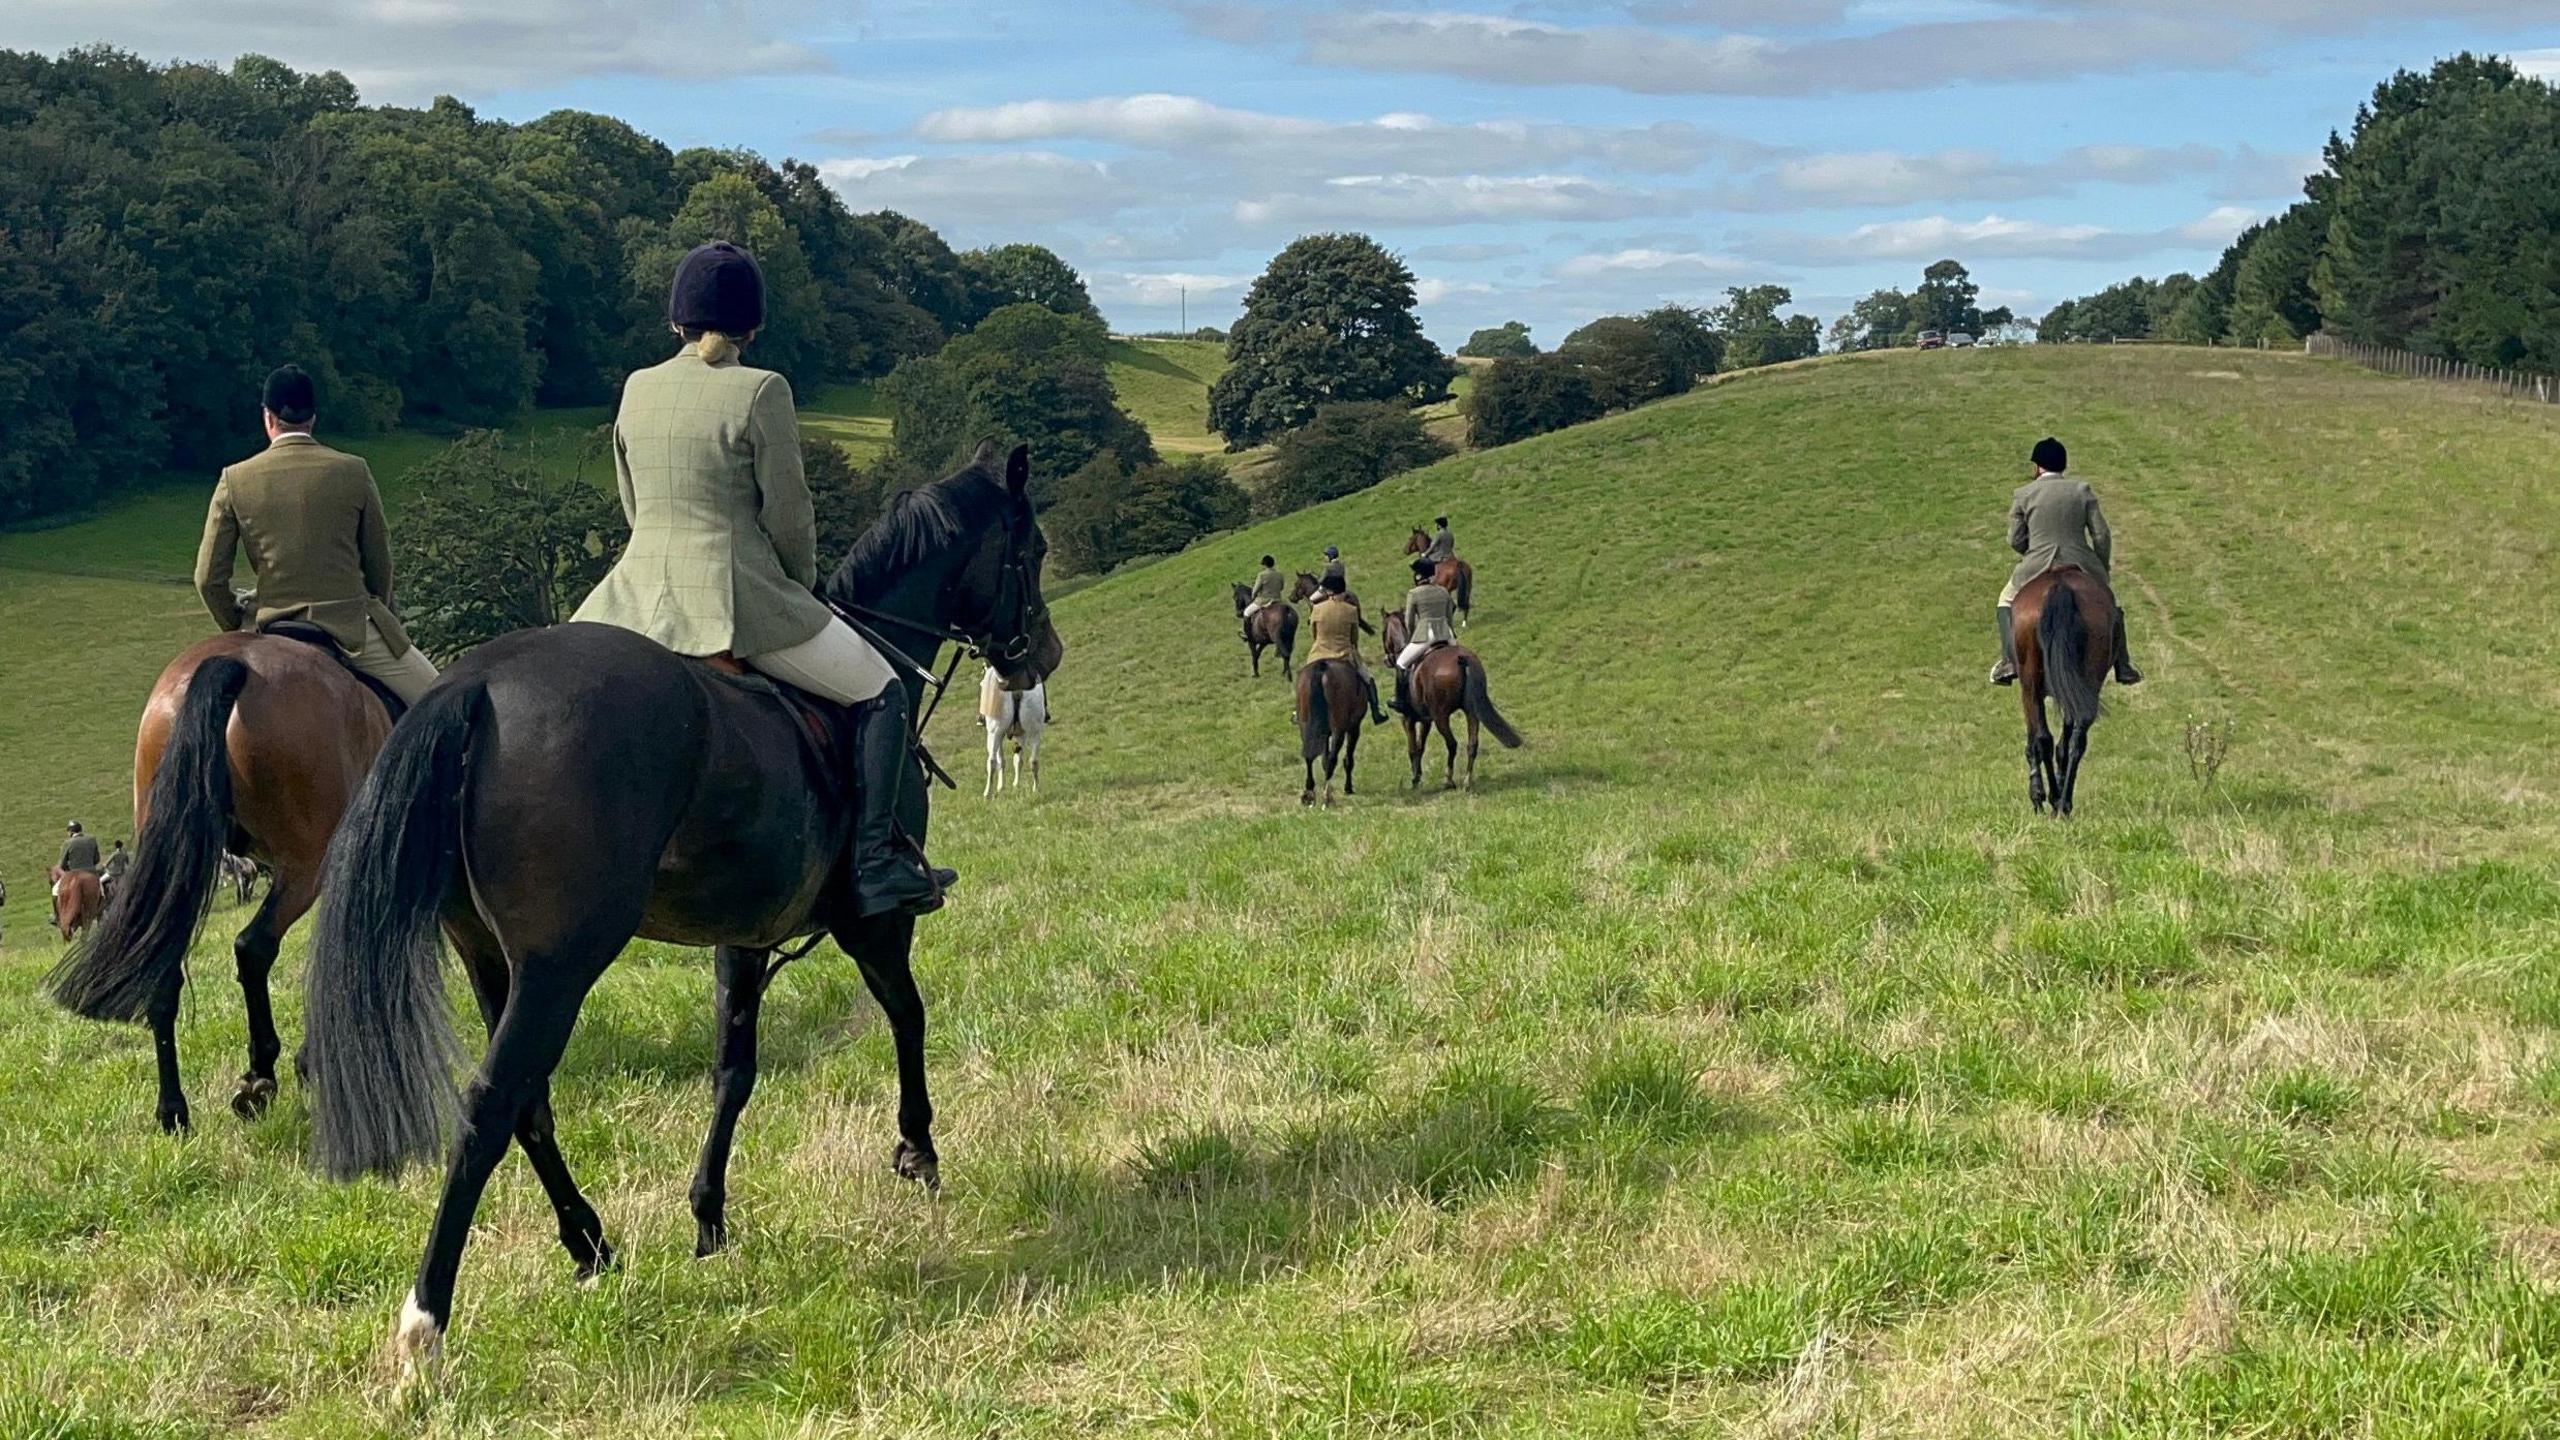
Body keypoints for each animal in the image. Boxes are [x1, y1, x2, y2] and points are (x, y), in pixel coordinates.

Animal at [48, 632, 394, 1127]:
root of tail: (232, 660)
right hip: (306, 863)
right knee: (254, 947)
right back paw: (258, 1078)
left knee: (166, 974)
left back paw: (173, 1111)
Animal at [307, 438, 1059, 1363]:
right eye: (1033, 550)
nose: (1040, 657)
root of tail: (474, 685)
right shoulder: (874, 923)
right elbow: (907, 1016)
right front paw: (917, 1151)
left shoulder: (744, 935)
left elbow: (732, 1071)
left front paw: (709, 1218)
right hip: (561, 965)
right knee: (491, 1100)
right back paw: (426, 1322)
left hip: (487, 957)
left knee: (528, 1103)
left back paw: (590, 1244)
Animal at [1382, 607, 1515, 784]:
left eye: (1383, 631)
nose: (1387, 660)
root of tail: (1462, 659)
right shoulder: (1425, 720)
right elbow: (1420, 746)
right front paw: (1419, 774)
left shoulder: (1407, 719)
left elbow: (1412, 749)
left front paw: (1415, 778)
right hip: (1471, 712)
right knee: (1472, 744)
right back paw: (1467, 780)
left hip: (1441, 717)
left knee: (1452, 744)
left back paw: (1448, 780)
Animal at [2007, 566, 2109, 814]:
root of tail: (2060, 584)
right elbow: (2062, 745)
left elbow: (2034, 742)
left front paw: (2037, 796)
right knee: (2075, 741)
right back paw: (2063, 802)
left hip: (2030, 684)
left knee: (2044, 739)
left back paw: (2053, 799)